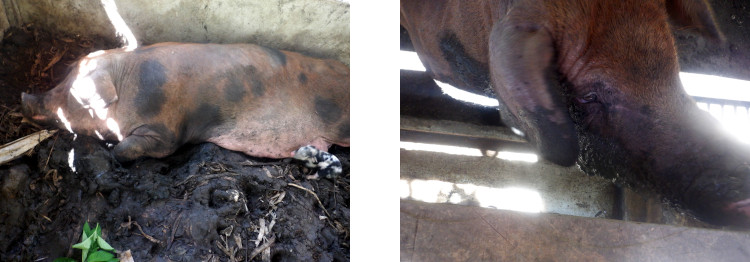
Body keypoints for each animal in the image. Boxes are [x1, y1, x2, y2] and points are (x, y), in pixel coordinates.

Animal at [20, 43, 350, 177]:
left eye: (70, 93)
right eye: (64, 77)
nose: (24, 96)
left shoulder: (165, 132)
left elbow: (132, 149)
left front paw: (113, 153)